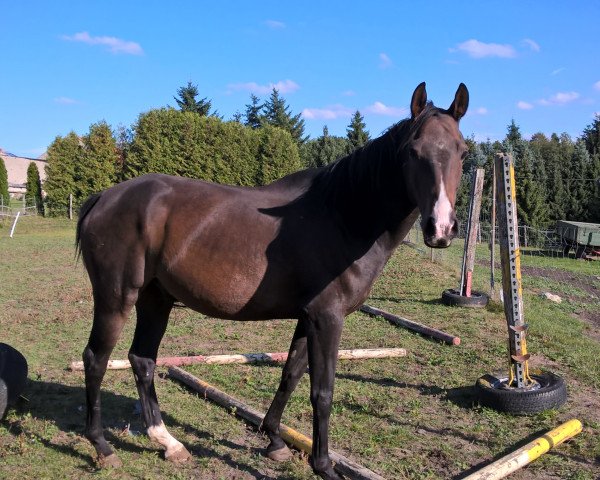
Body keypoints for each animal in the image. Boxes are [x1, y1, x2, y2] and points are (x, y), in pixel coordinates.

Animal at [75, 80, 468, 478]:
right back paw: (102, 447)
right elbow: (322, 392)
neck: (343, 215)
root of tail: (105, 197)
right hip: (116, 298)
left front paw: (275, 440)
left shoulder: (307, 318)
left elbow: (290, 375)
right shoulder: (327, 318)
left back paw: (168, 443)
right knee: (96, 359)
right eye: (413, 152)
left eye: (462, 151)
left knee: (142, 360)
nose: (441, 229)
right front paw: (323, 464)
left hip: (156, 299)